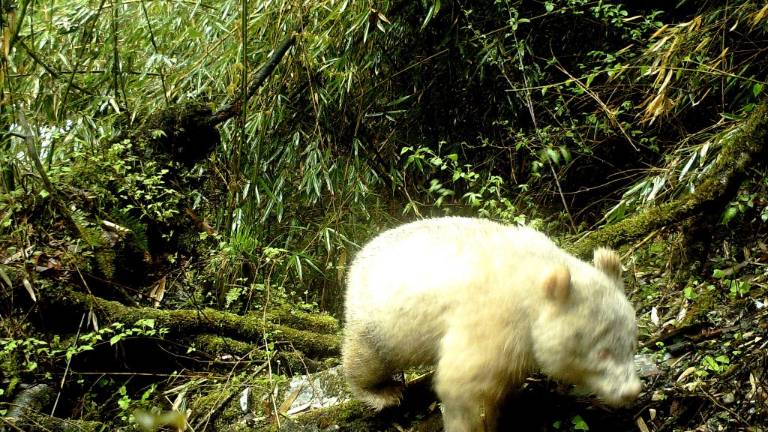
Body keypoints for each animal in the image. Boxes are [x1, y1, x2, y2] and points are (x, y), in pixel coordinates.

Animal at [342, 216, 641, 432]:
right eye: (603, 352)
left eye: (631, 345)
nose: (631, 391)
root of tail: (359, 256)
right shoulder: (494, 317)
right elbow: (463, 383)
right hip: (378, 318)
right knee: (367, 359)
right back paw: (382, 392)